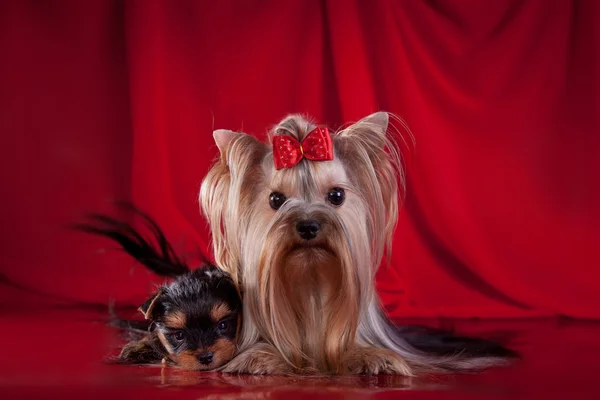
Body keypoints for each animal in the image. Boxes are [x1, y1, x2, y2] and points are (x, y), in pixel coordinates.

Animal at [198, 111, 516, 376]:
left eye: (336, 196)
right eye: (276, 199)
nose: (309, 225)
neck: (310, 285)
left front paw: (371, 357)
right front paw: (260, 356)